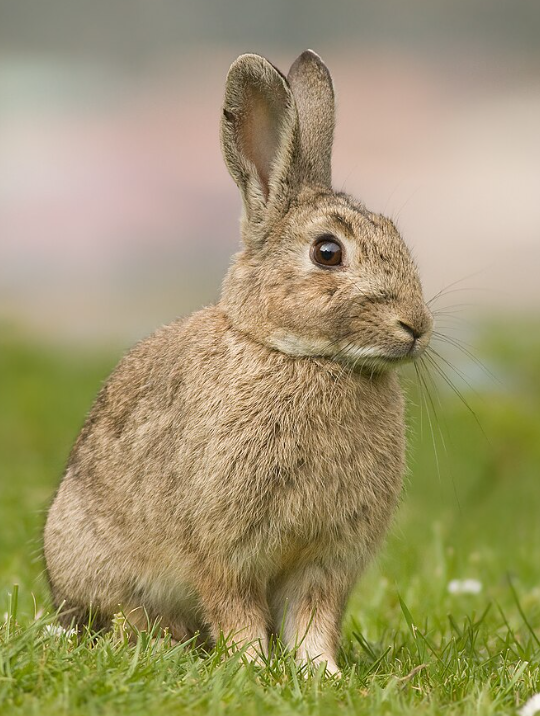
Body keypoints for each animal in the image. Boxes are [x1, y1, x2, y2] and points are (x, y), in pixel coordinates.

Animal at [45, 49, 434, 672]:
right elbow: (235, 609)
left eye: (395, 233)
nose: (416, 327)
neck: (302, 356)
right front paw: (252, 665)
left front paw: (319, 672)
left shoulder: (327, 561)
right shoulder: (223, 550)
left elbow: (314, 618)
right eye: (328, 252)